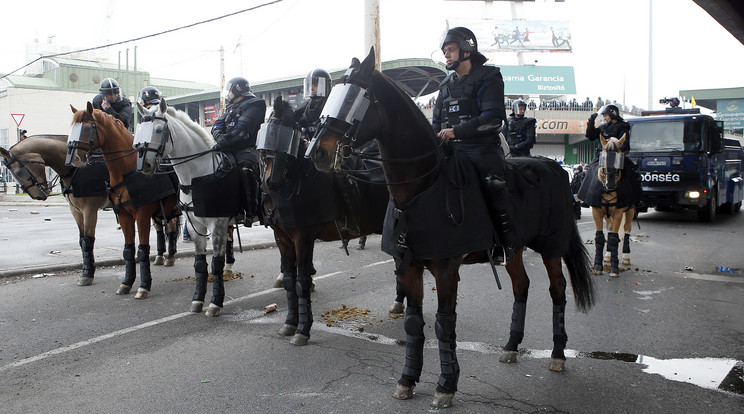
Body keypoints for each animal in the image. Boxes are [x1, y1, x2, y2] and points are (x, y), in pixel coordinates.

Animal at [68, 102, 182, 300]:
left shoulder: (142, 216)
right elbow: (128, 250)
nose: (75, 159)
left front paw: (144, 286)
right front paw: (126, 283)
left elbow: (142, 250)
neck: (128, 171)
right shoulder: (124, 216)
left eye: (88, 127)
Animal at [134, 98, 237, 316]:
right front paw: (197, 300)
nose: (145, 165)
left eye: (158, 129)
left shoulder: (218, 225)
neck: (199, 176)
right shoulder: (194, 225)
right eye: (139, 129)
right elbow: (199, 264)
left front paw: (215, 303)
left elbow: (216, 264)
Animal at [260, 97, 390, 346]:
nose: (272, 181)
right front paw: (289, 323)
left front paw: (303, 329)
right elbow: (289, 281)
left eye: (291, 135)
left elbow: (302, 282)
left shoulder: (303, 238)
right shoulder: (281, 239)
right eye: (271, 131)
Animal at [306, 48, 596, 408]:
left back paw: (557, 354)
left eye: (354, 98)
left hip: (551, 247)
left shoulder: (446, 270)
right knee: (522, 287)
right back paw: (512, 346)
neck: (422, 188)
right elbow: (413, 323)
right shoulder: (408, 267)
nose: (317, 152)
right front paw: (407, 379)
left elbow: (444, 325)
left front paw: (446, 384)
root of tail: (553, 166)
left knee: (557, 290)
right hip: (514, 250)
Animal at [588, 137, 636, 278]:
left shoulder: (619, 213)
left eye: (619, 159)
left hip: (630, 211)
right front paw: (597, 267)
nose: (610, 183)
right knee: (609, 228)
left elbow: (615, 238)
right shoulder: (597, 211)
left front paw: (614, 268)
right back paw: (608, 255)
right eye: (603, 157)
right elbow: (600, 237)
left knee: (627, 229)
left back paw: (625, 257)